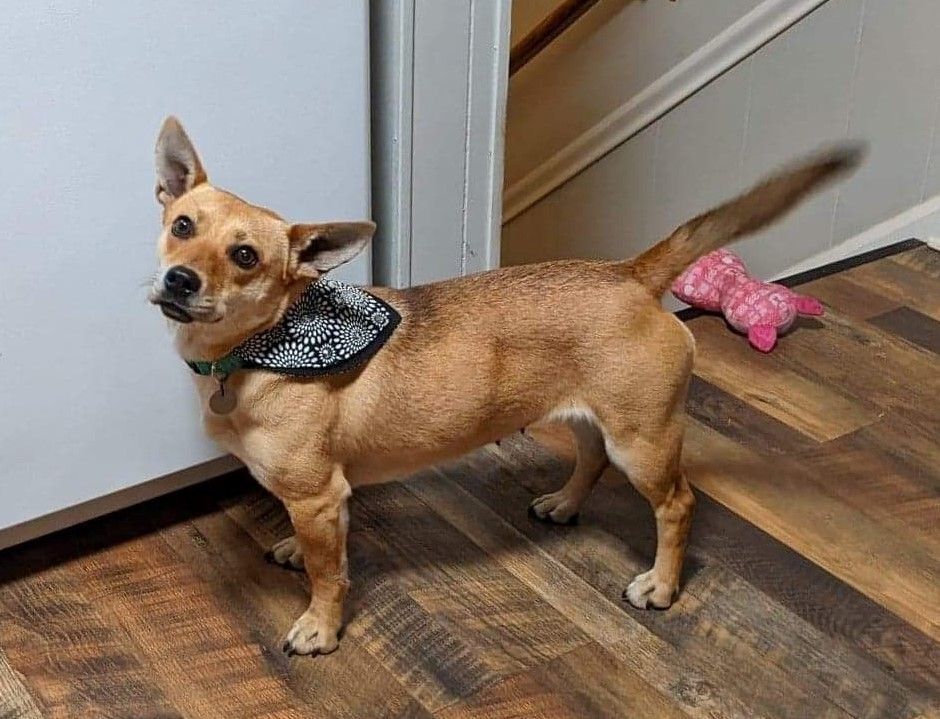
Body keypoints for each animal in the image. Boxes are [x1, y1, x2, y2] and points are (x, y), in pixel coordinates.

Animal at [147, 119, 860, 660]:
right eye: (182, 226)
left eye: (246, 258)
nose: (179, 280)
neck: (259, 346)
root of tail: (630, 273)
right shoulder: (324, 497)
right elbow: (330, 551)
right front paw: (301, 552)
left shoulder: (317, 493)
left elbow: (331, 575)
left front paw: (320, 627)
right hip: (586, 420)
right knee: (591, 460)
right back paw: (564, 504)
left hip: (644, 441)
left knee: (678, 505)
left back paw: (660, 585)